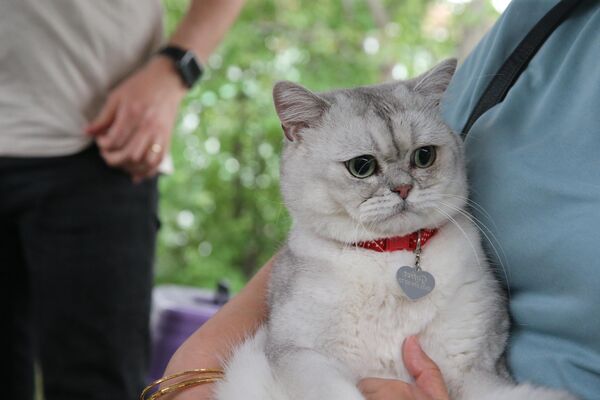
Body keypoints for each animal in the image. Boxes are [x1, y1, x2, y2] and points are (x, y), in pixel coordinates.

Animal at [213, 59, 576, 400]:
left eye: (424, 156)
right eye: (361, 166)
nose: (403, 189)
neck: (388, 257)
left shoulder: (475, 370)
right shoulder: (301, 354)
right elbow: (341, 393)